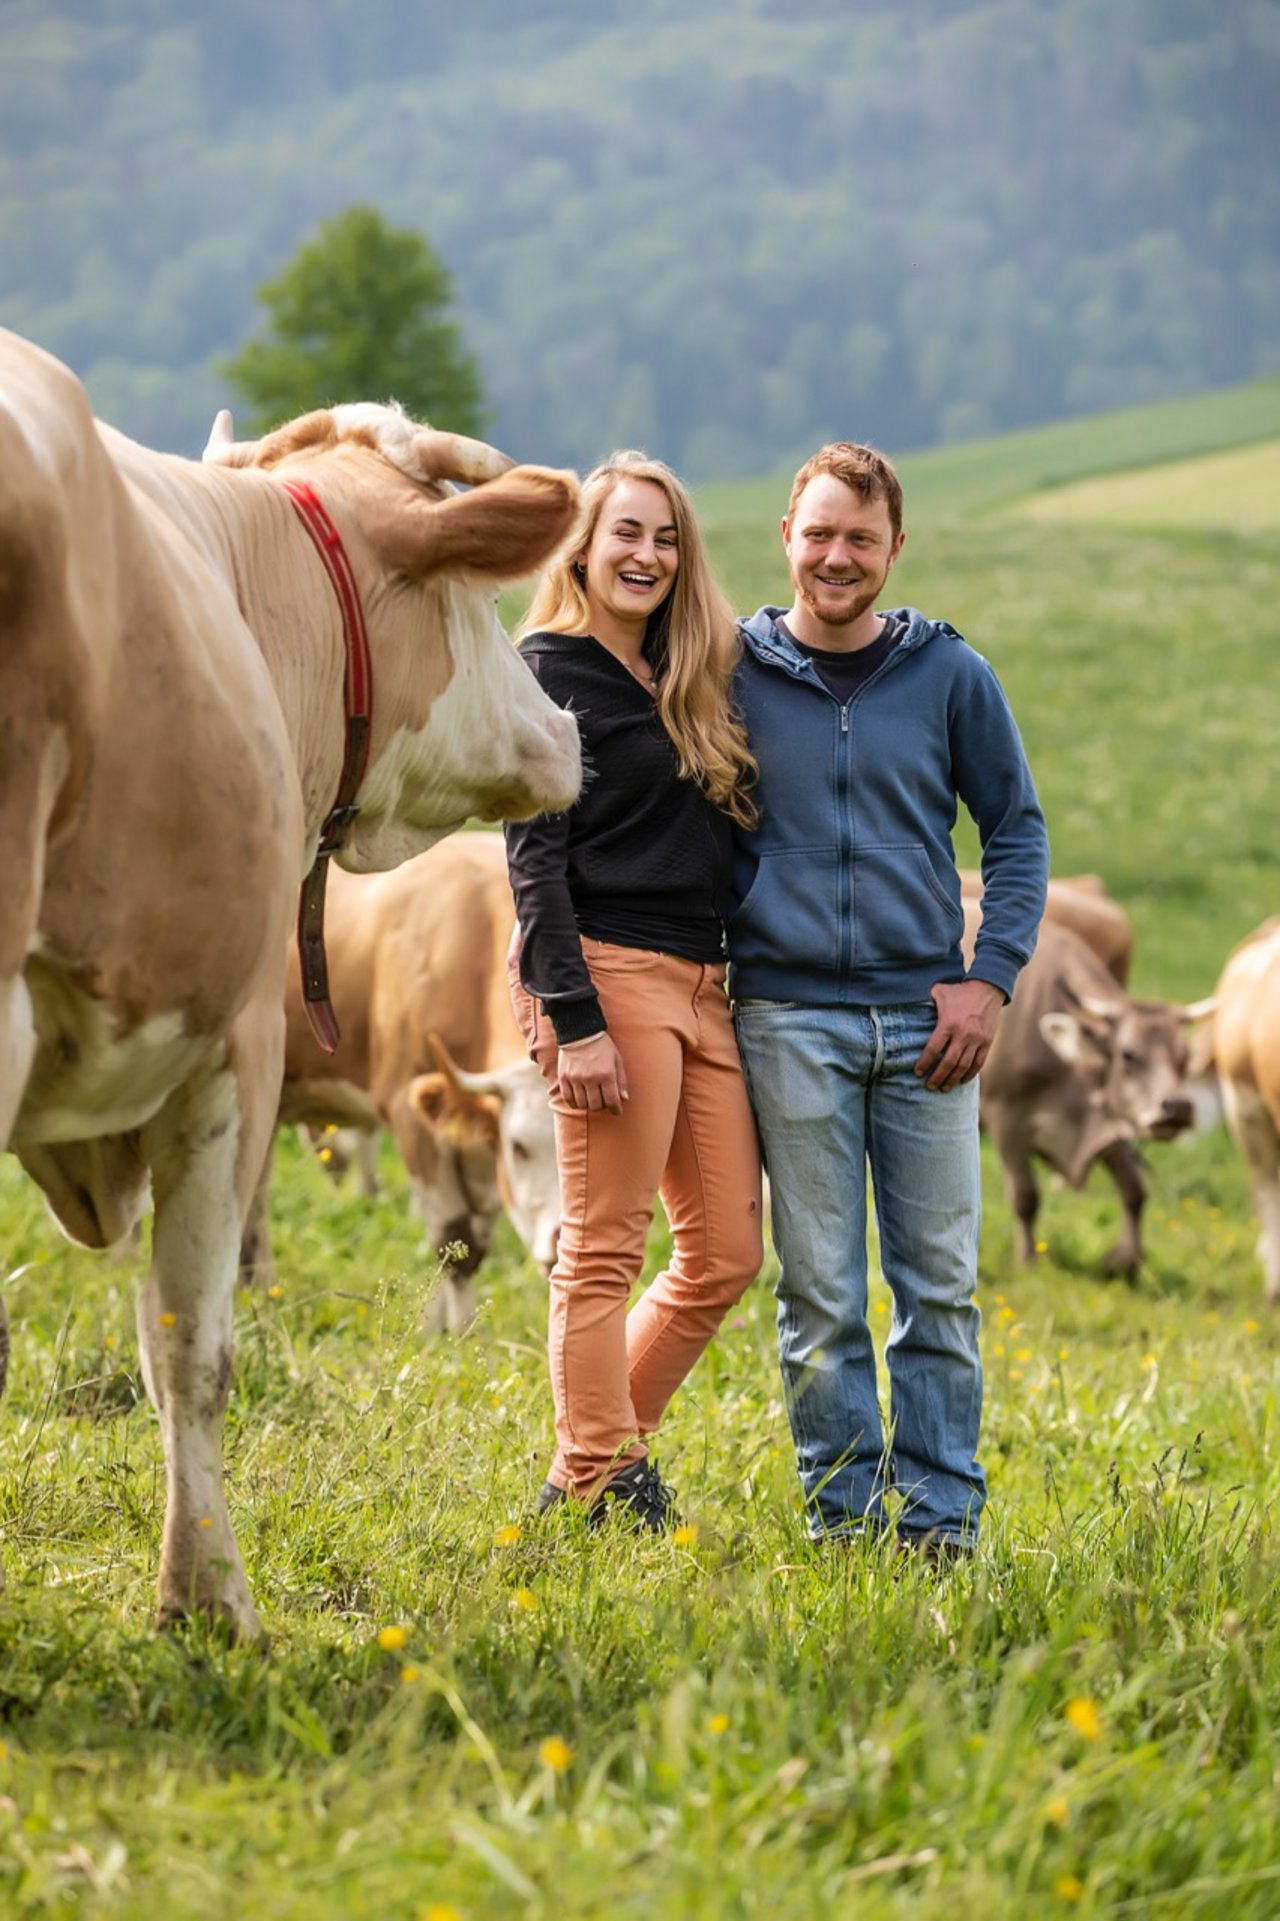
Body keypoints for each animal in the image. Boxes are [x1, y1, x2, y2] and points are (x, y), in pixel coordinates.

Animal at [968, 910, 1206, 1275]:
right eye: (1128, 1055)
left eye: (1186, 1057)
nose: (1177, 1107)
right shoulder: (1004, 1117)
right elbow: (1025, 1197)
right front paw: (1028, 1261)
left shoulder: (1110, 1119)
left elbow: (1134, 1188)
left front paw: (1127, 1260)